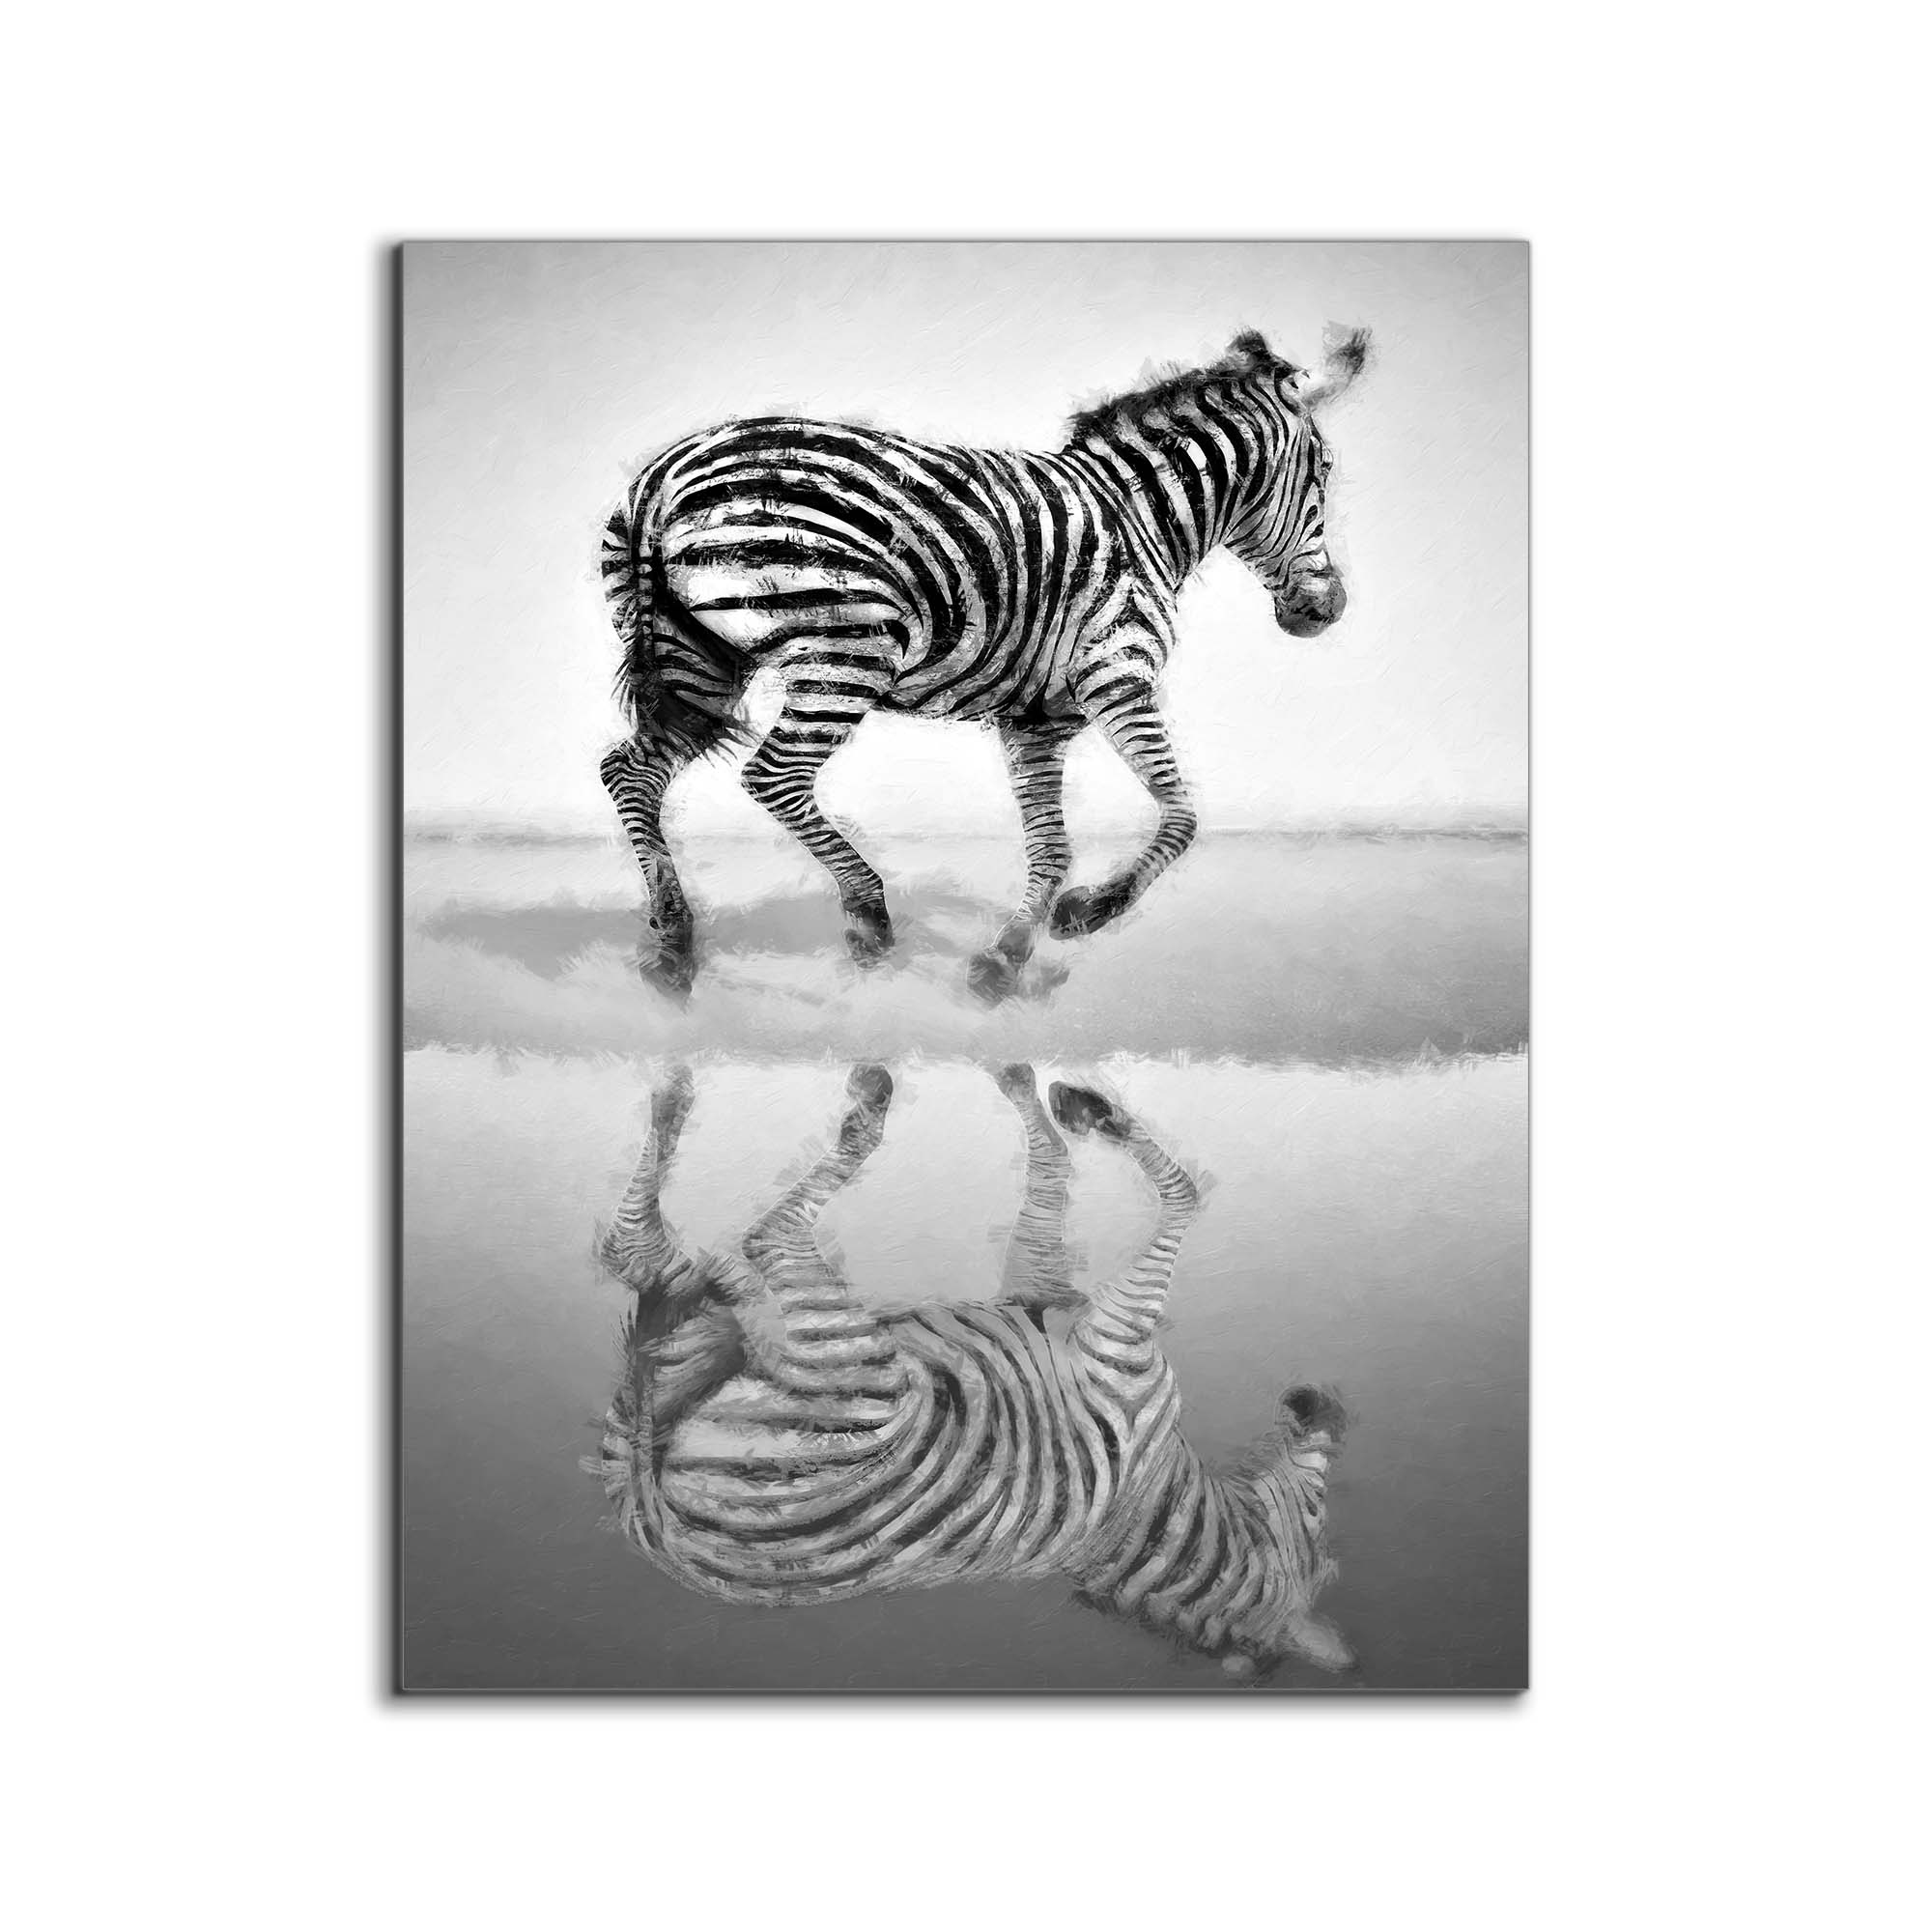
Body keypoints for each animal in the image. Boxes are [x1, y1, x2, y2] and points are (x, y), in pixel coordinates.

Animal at [588, 1062, 1353, 1682]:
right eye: (1320, 1509)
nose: (1318, 1400)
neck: (1155, 1504)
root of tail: (657, 1519)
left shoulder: (1122, 1343)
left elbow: (1185, 1194)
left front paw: (1091, 1111)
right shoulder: (1048, 1295)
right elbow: (1053, 1176)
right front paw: (1045, 1092)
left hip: (862, 1380)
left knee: (737, 1240)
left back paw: (827, 1105)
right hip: (695, 1345)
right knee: (649, 1261)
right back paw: (677, 1105)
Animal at [598, 326, 1371, 999]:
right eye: (1326, 472)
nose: (1328, 610)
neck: (1139, 518)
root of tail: (661, 476)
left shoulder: (1038, 718)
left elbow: (1051, 847)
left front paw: (1008, 956)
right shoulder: (1118, 675)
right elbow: (1181, 818)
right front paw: (1086, 914)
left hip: (700, 662)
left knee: (629, 770)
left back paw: (674, 938)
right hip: (847, 652)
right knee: (773, 777)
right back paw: (866, 914)